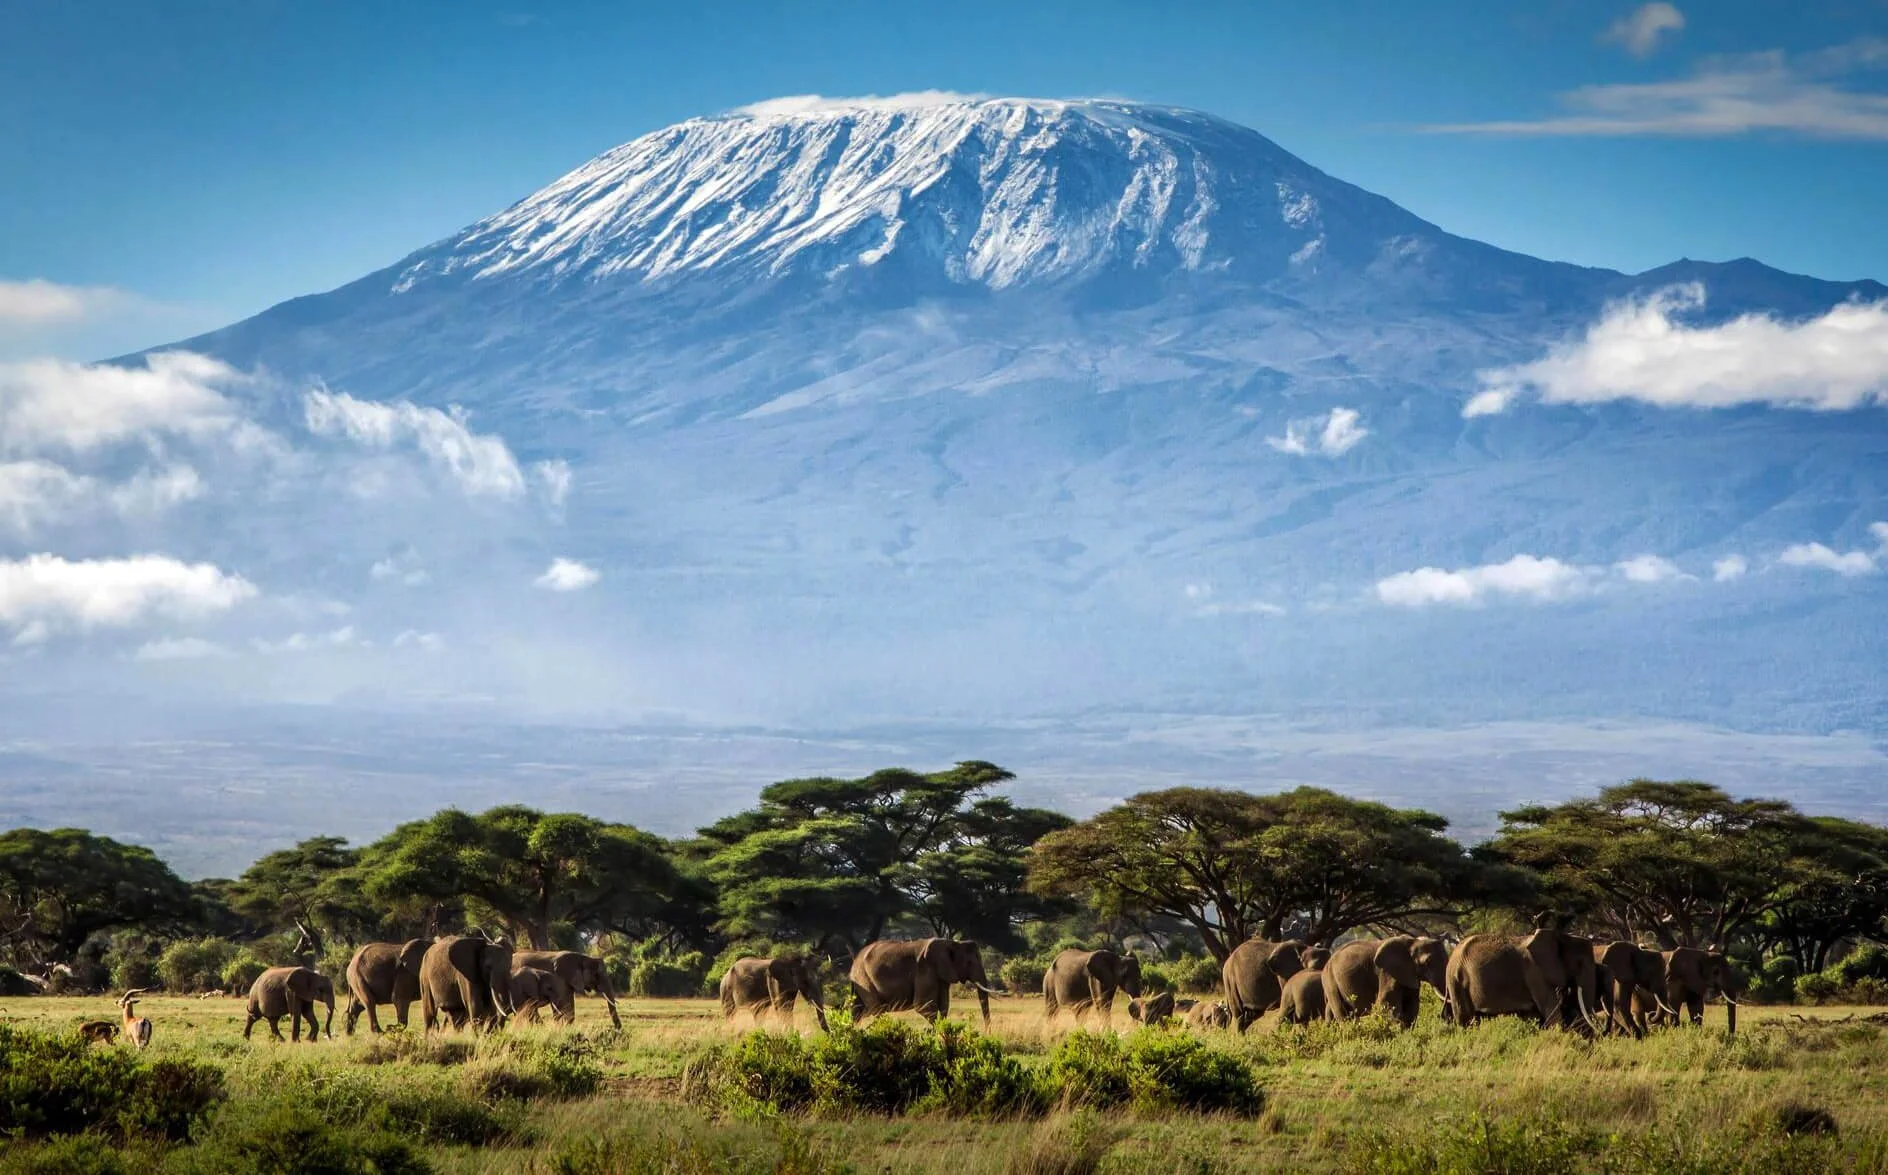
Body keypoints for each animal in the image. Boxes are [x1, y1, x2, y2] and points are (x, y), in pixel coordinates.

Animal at [848, 938, 996, 1028]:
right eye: (969, 962)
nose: (987, 1034)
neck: (951, 943)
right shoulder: (925, 969)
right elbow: (922, 1006)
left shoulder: (940, 976)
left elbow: (944, 1006)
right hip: (864, 978)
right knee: (876, 1009)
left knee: (858, 1010)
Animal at [1445, 929, 1600, 1032]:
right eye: (1579, 963)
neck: (1561, 936)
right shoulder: (1534, 971)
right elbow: (1550, 1010)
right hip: (1456, 979)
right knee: (1464, 1017)